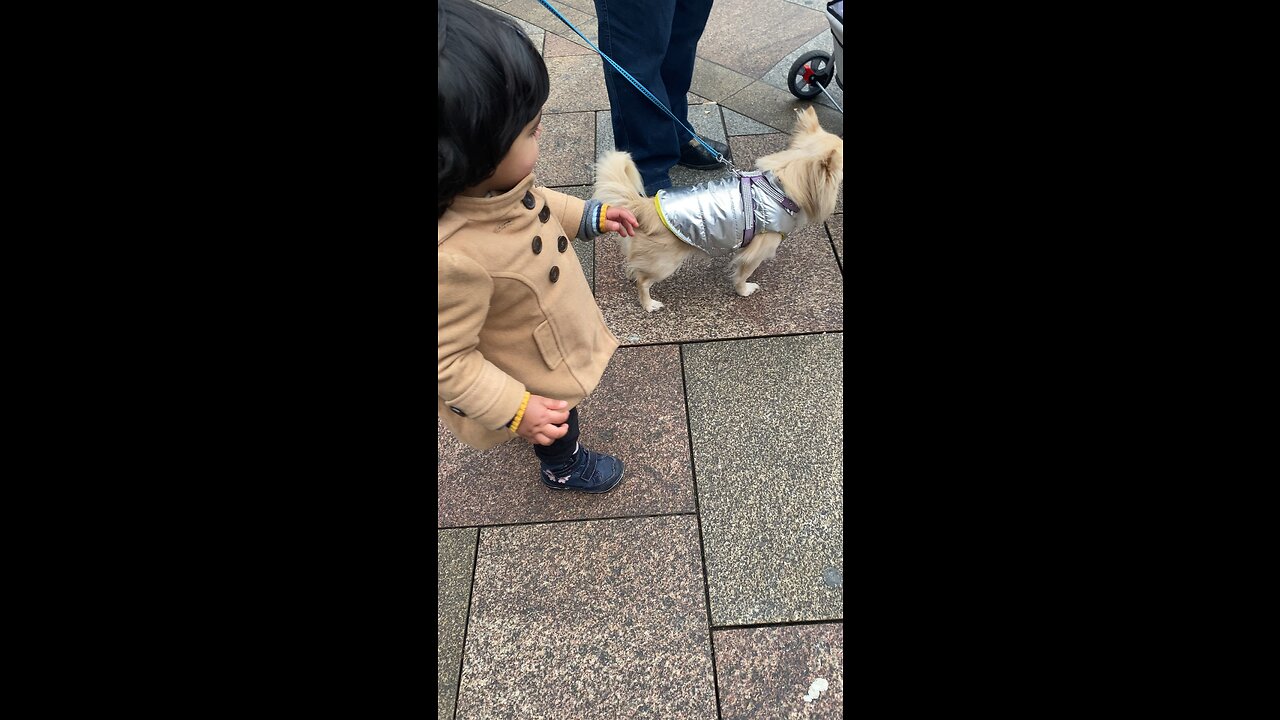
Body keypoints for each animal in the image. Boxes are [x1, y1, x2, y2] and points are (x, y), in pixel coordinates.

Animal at [593, 105, 844, 310]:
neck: (778, 187)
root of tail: (644, 205)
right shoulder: (757, 248)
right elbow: (743, 273)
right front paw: (744, 290)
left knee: (634, 268)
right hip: (665, 263)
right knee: (643, 281)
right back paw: (649, 304)